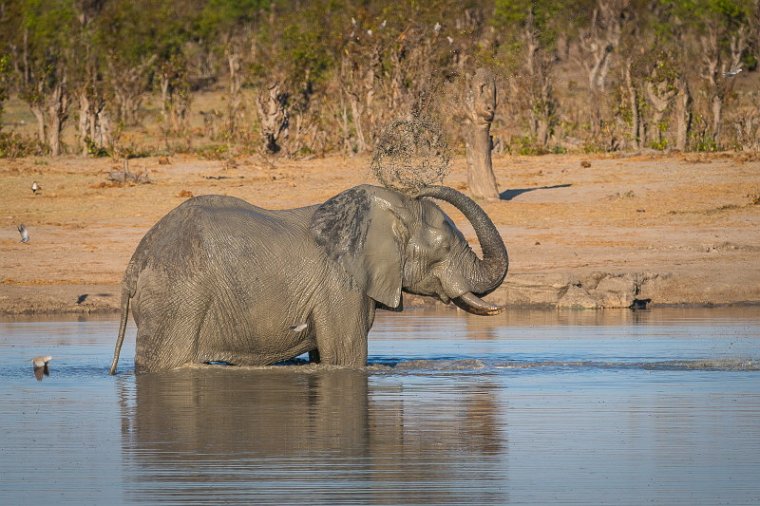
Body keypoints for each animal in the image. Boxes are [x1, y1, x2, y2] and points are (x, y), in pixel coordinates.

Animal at [107, 184, 508, 374]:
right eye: (446, 246)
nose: (421, 188)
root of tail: (136, 260)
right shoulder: (339, 286)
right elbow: (346, 358)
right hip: (177, 297)